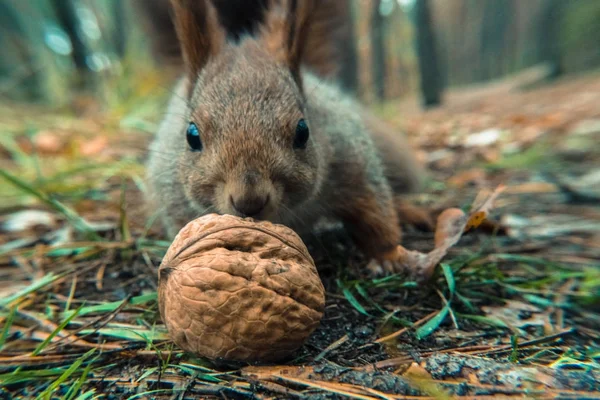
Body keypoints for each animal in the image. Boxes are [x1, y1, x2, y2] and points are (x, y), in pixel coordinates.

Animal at [147, 0, 424, 276]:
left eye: (303, 132)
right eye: (192, 136)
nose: (249, 202)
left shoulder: (349, 158)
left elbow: (373, 210)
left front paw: (388, 256)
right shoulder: (175, 203)